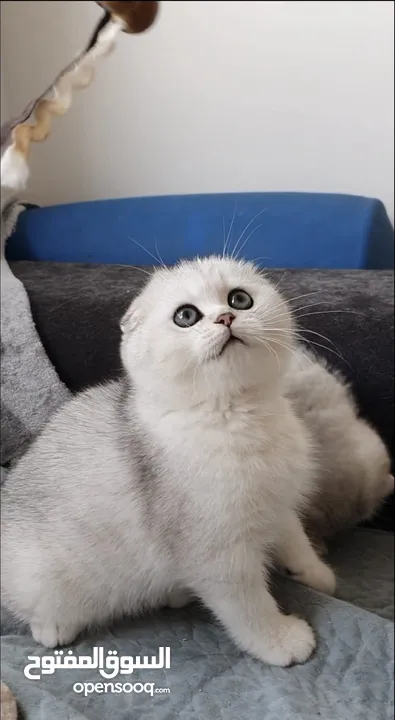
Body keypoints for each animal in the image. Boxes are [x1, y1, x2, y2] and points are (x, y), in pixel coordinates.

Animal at [0, 256, 334, 668]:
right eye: (186, 316)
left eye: (239, 299)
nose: (226, 318)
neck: (238, 414)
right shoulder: (216, 551)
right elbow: (248, 605)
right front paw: (280, 639)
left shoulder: (278, 501)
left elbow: (294, 538)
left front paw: (317, 573)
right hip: (43, 579)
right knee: (39, 613)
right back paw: (55, 628)